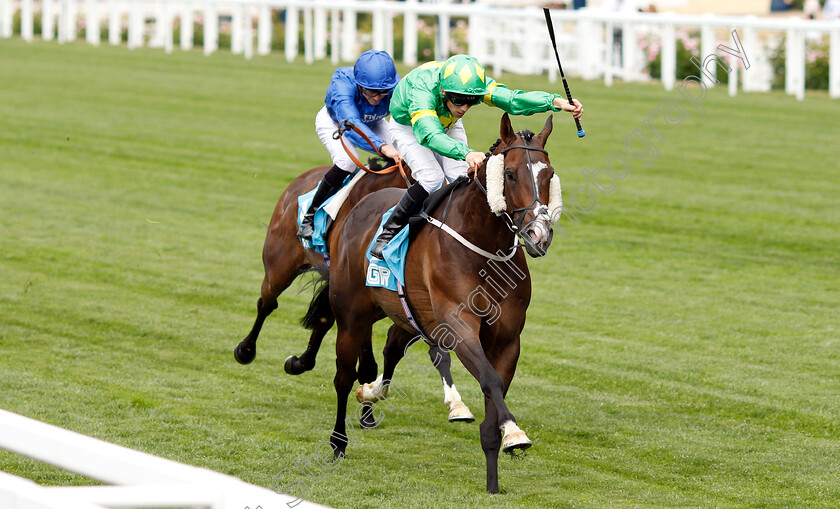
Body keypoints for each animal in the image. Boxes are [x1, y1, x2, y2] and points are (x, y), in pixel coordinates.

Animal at [233, 159, 476, 420]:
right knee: (267, 302)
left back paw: (301, 362)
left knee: (324, 319)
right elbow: (369, 359)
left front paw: (367, 409)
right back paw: (246, 349)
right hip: (280, 265)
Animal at [324, 113, 560, 490]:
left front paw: (496, 471)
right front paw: (516, 432)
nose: (538, 233)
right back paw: (338, 442)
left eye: (548, 174)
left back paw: (372, 393)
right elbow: (490, 380)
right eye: (509, 174)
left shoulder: (508, 338)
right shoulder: (460, 326)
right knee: (344, 376)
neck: (484, 249)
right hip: (351, 315)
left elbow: (495, 390)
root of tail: (358, 206)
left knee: (390, 348)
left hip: (405, 313)